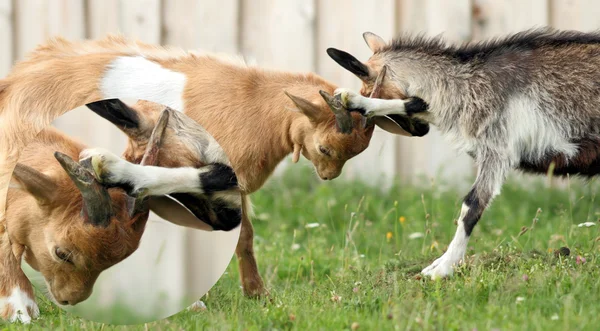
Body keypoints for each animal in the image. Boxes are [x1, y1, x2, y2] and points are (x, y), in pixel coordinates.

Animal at [326, 27, 600, 278]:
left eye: (369, 89)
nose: (420, 132)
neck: (466, 84)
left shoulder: (497, 148)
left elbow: (472, 205)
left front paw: (443, 267)